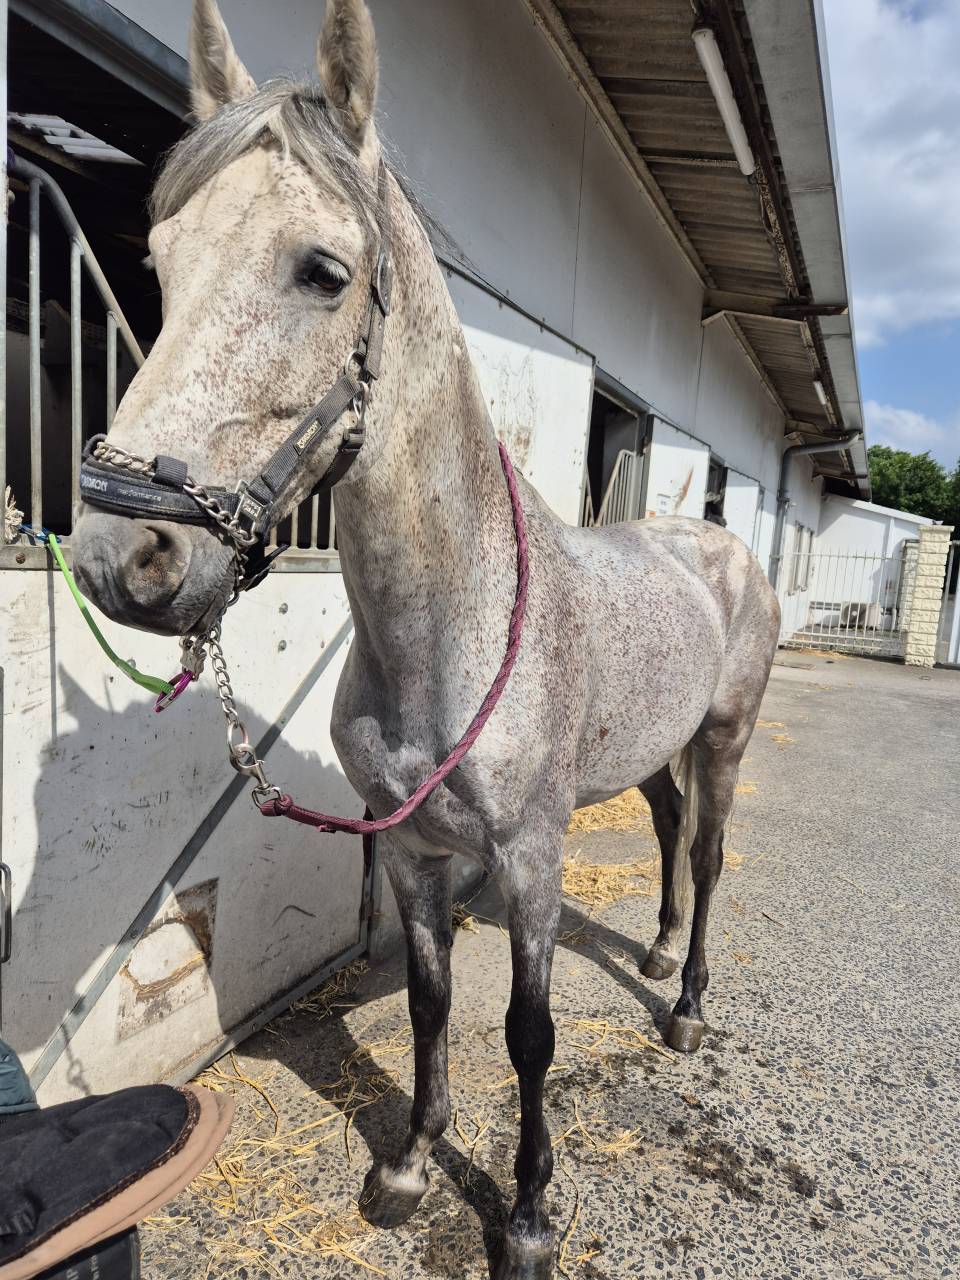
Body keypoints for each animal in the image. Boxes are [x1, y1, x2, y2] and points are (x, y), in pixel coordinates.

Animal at [71, 2, 781, 1275]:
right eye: (159, 262)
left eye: (323, 271)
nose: (122, 555)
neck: (452, 627)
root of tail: (719, 545)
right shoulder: (408, 852)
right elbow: (430, 1004)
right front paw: (407, 1163)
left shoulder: (534, 857)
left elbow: (529, 1030)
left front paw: (531, 1212)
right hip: (653, 750)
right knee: (665, 832)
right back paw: (652, 955)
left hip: (725, 737)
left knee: (705, 858)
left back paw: (689, 1002)